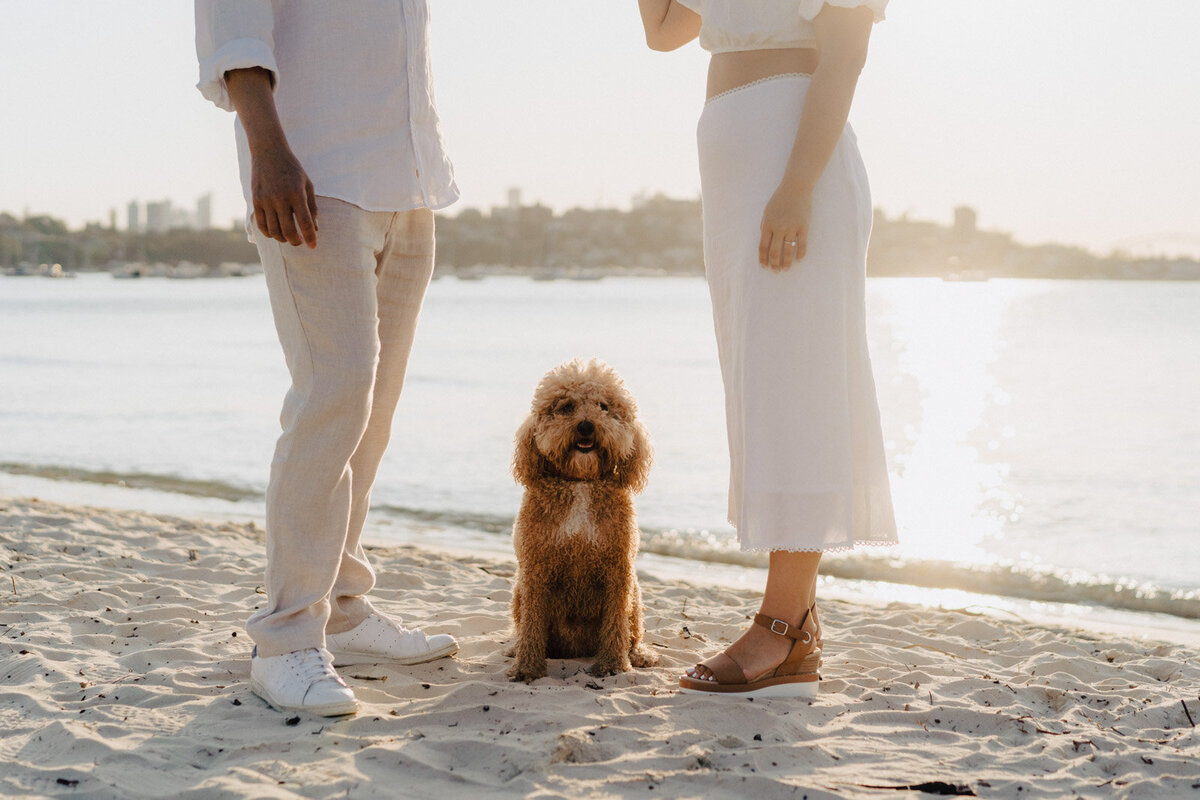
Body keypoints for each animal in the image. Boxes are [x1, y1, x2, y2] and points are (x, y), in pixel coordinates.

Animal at [504, 362, 662, 681]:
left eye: (604, 406)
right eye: (566, 406)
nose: (587, 426)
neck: (581, 482)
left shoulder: (618, 570)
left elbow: (616, 622)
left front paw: (612, 664)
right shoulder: (535, 570)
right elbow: (532, 625)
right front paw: (527, 667)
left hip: (635, 597)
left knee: (632, 634)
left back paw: (638, 655)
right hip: (518, 592)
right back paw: (517, 649)